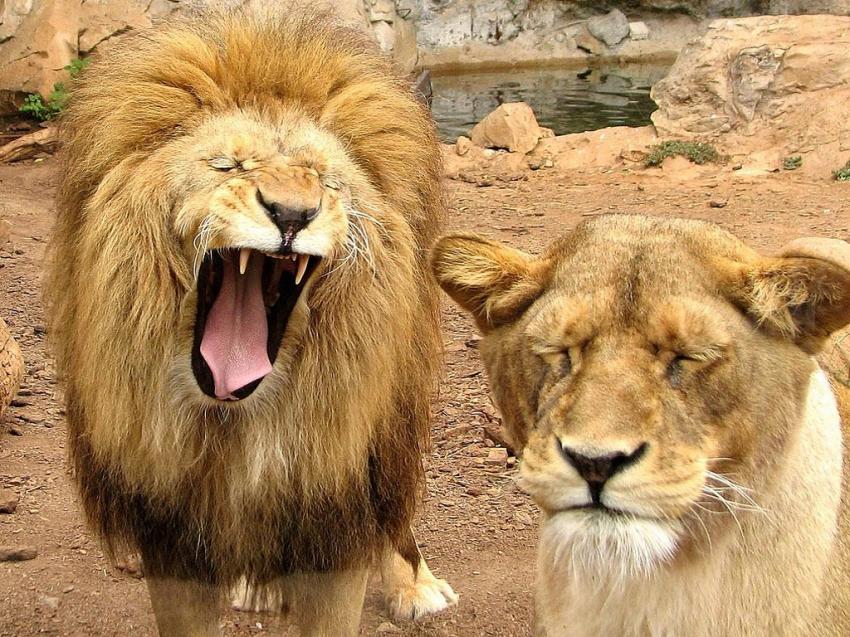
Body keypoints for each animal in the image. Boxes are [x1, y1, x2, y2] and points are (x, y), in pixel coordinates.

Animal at [46, 6, 456, 635]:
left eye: (325, 179)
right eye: (228, 165)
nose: (292, 214)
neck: (230, 423)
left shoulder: (333, 514)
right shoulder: (170, 535)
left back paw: (418, 583)